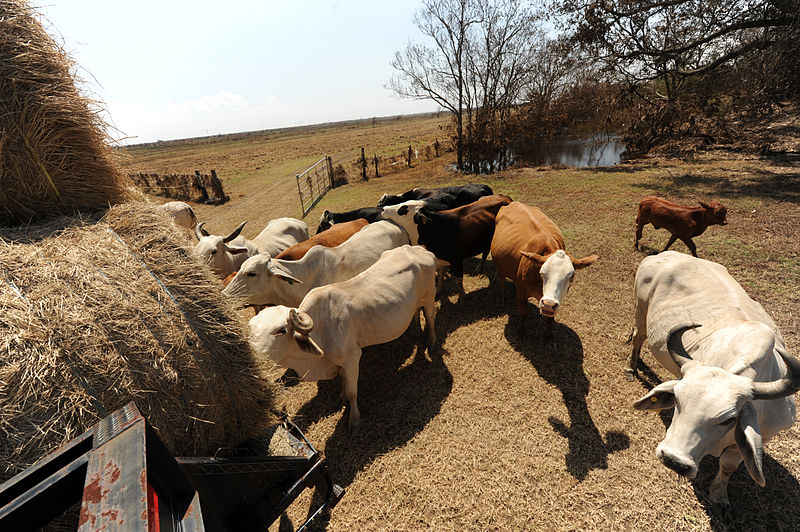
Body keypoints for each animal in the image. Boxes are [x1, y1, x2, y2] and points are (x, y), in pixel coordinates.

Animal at [250, 244, 438, 428]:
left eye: (281, 330)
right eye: (251, 330)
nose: (254, 359)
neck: (322, 327)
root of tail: (419, 249)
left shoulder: (352, 358)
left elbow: (352, 391)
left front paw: (354, 419)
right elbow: (343, 380)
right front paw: (342, 396)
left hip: (429, 298)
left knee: (430, 317)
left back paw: (431, 342)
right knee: (416, 311)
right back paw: (415, 331)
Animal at [490, 202, 596, 338]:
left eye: (571, 277)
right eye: (542, 273)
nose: (548, 305)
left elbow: (550, 319)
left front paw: (548, 337)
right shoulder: (522, 292)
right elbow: (523, 312)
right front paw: (521, 331)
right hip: (499, 264)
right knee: (502, 279)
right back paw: (501, 298)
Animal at [628, 252, 796, 508]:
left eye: (729, 419)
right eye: (677, 401)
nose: (674, 460)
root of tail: (664, 254)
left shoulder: (762, 436)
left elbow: (728, 464)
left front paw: (718, 495)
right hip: (640, 309)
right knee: (638, 336)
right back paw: (632, 366)